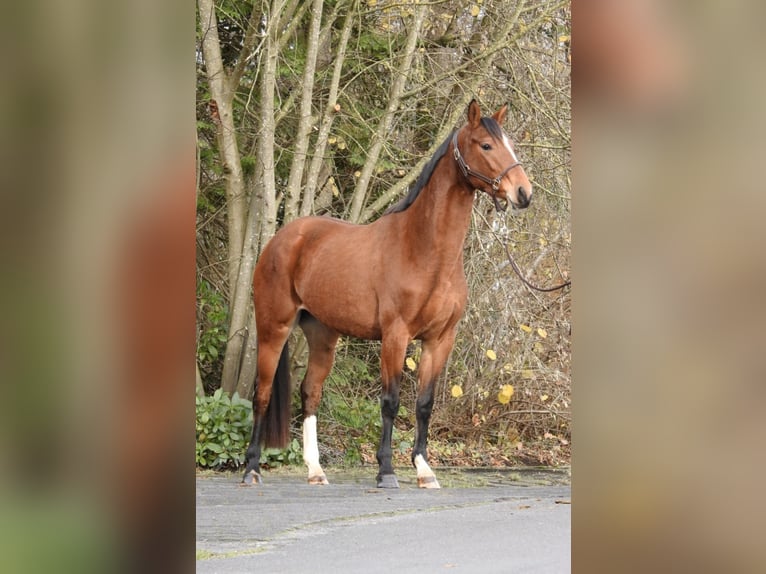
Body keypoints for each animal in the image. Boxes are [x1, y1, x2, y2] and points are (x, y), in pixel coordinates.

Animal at [243, 100, 532, 490]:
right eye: (486, 145)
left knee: (310, 393)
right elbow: (391, 401)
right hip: (273, 327)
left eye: (510, 143)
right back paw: (251, 468)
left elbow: (424, 404)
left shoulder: (440, 339)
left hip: (322, 335)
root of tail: (282, 239)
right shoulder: (395, 335)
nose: (523, 193)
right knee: (261, 391)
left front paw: (424, 469)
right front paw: (387, 471)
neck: (423, 250)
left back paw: (316, 471)